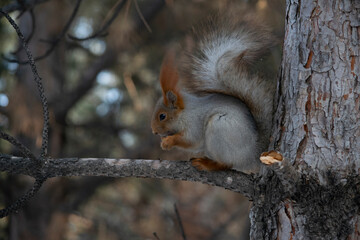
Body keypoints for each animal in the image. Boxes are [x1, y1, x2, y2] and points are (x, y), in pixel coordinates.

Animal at [150, 14, 274, 172]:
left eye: (162, 116)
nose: (154, 132)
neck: (185, 112)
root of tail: (252, 156)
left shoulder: (194, 124)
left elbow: (190, 140)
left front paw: (167, 142)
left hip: (219, 128)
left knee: (226, 164)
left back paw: (206, 164)